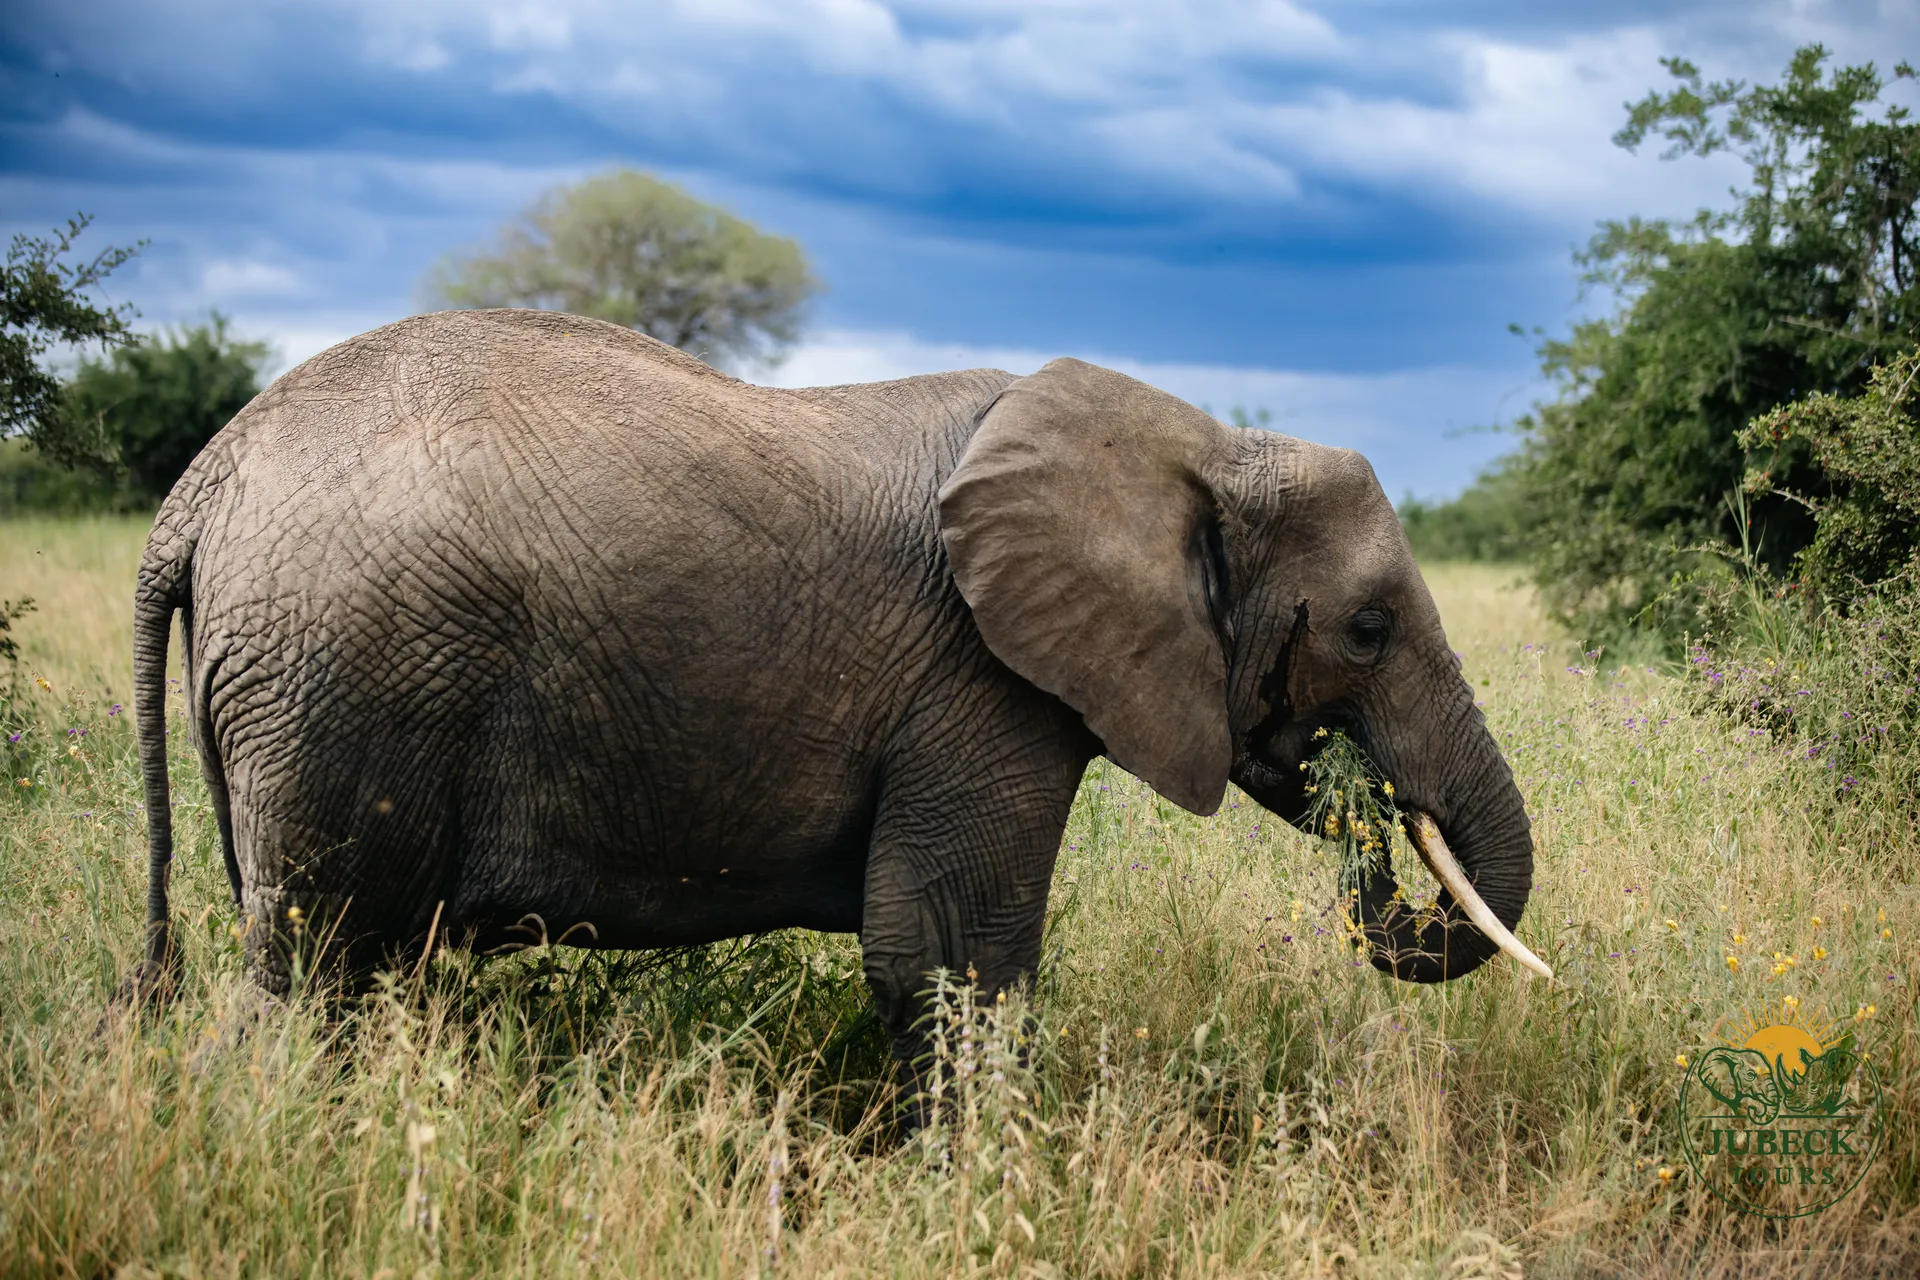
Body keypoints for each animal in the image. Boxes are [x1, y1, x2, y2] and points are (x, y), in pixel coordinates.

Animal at [118, 308, 1545, 1081]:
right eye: (1368, 627)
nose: (1373, 817)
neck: (1202, 445)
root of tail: (200, 484)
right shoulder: (976, 683)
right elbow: (951, 957)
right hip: (339, 677)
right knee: (318, 974)